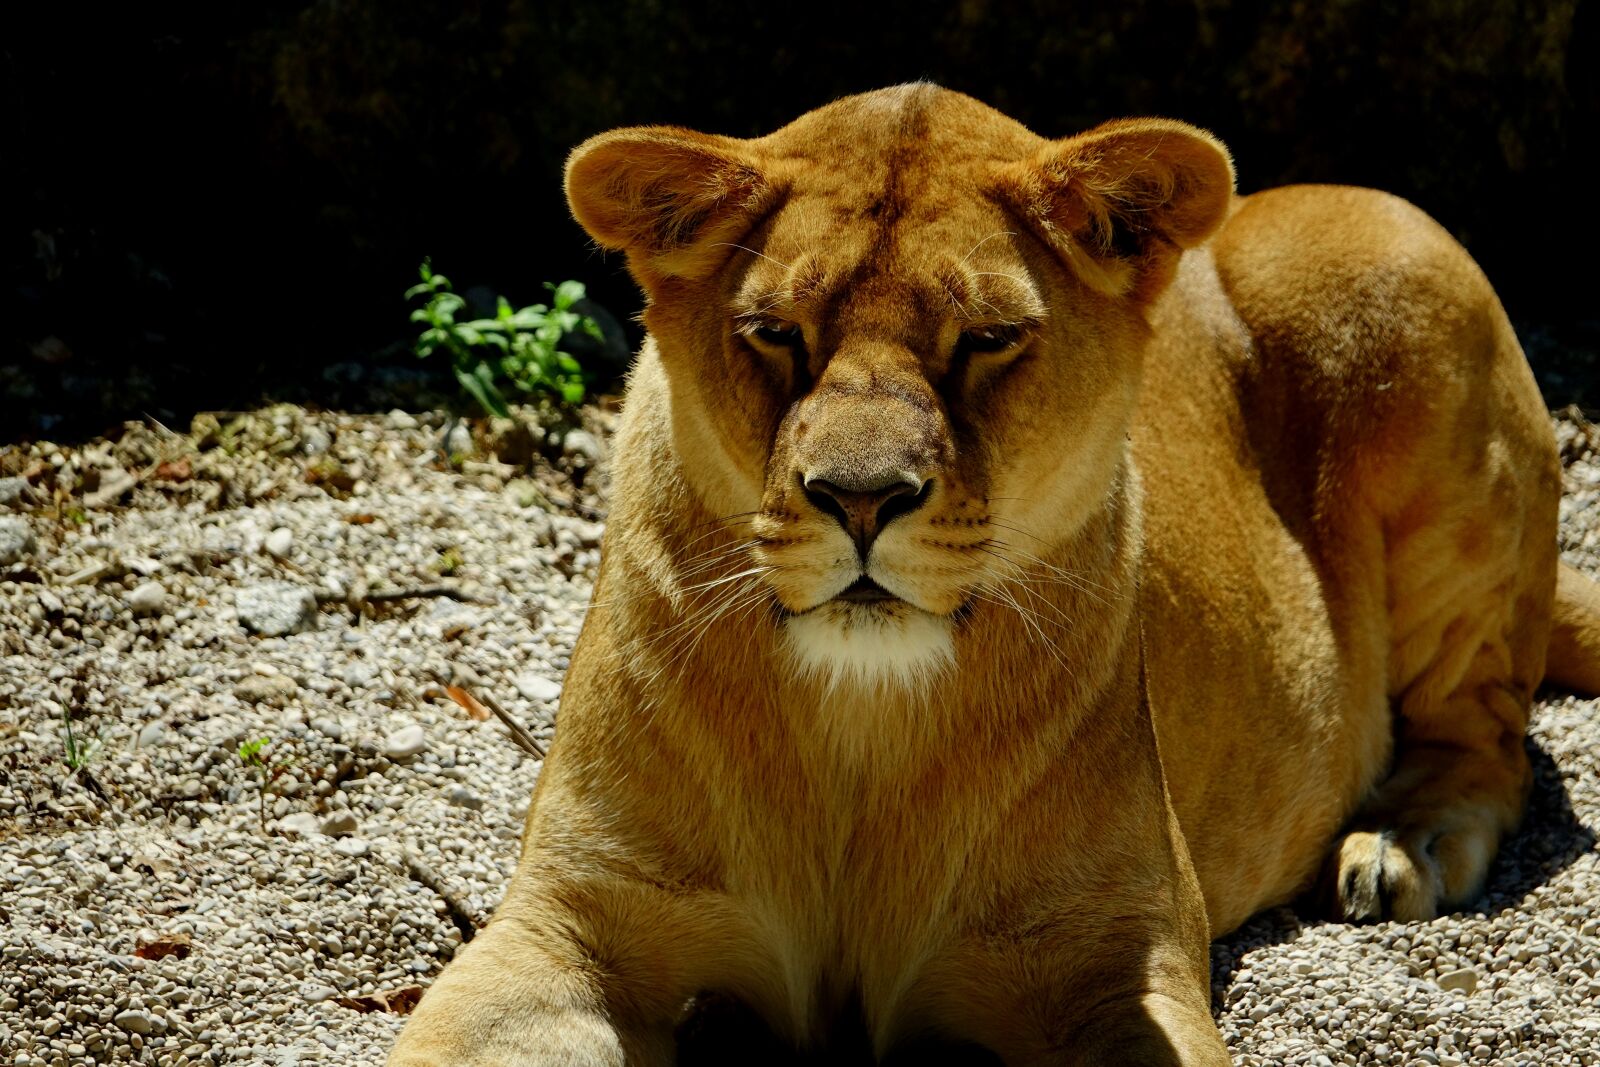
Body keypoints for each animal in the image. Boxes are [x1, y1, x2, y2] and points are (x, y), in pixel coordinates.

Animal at [388, 84, 1600, 1065]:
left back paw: (1403, 842)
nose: (860, 498)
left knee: (1489, 724)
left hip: (1399, 261)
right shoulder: (569, 925)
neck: (857, 726)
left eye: (988, 338)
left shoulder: (1110, 965)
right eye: (775, 331)